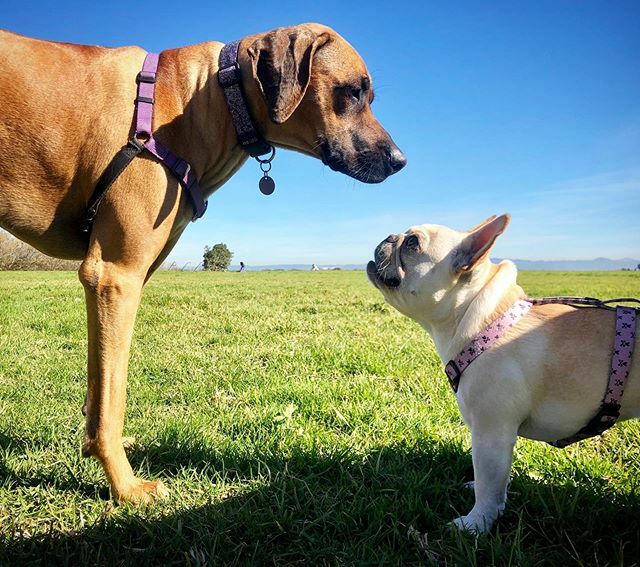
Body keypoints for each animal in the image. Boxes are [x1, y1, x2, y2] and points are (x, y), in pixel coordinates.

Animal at [0, 22, 404, 504]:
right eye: (354, 91)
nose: (400, 161)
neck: (202, 98)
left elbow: (99, 388)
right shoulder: (115, 276)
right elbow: (113, 396)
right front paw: (125, 485)